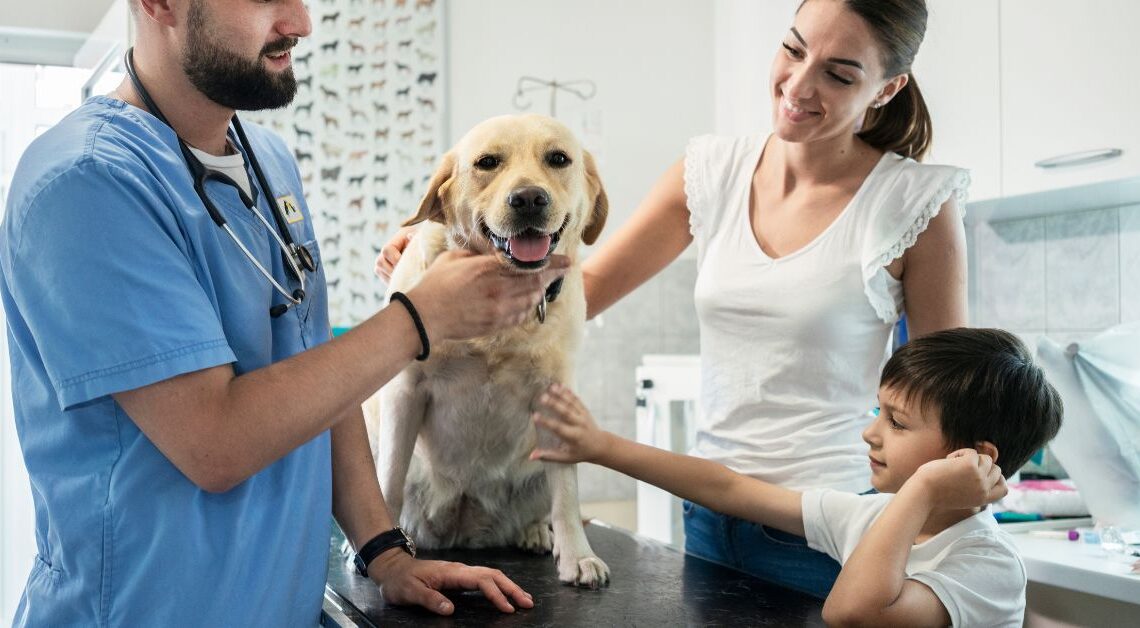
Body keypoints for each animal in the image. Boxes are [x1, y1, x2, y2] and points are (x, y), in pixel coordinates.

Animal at [369, 114, 611, 588]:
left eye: (558, 159)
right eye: (487, 162)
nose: (529, 198)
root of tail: (464, 529)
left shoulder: (554, 398)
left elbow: (567, 495)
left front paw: (578, 555)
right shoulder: (404, 391)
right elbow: (387, 479)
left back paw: (536, 532)